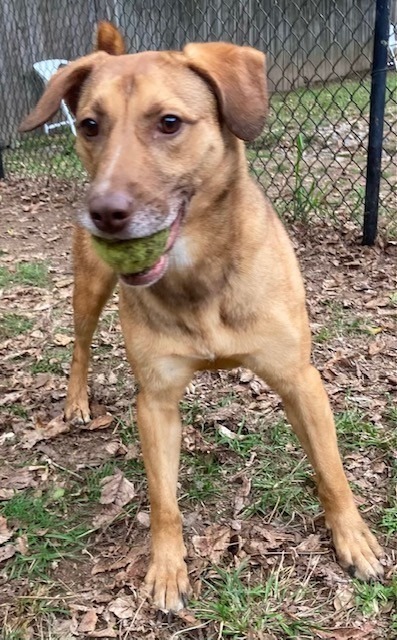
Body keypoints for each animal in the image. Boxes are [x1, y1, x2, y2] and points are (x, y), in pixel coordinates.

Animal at [19, 20, 384, 608]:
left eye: (169, 122)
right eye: (91, 125)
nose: (104, 214)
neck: (199, 275)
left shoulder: (300, 380)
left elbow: (331, 470)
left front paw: (353, 539)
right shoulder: (156, 402)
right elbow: (163, 501)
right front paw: (167, 570)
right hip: (89, 286)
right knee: (79, 344)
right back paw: (76, 401)